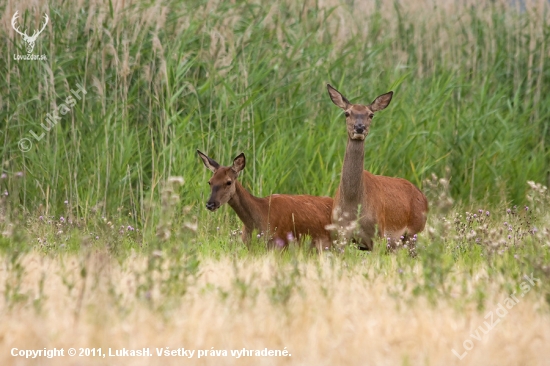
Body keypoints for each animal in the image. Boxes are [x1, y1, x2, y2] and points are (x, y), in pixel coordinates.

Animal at [328, 83, 432, 249]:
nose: (359, 127)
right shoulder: (339, 236)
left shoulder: (378, 234)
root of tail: (422, 196)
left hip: (414, 231)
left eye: (371, 115)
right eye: (347, 113)